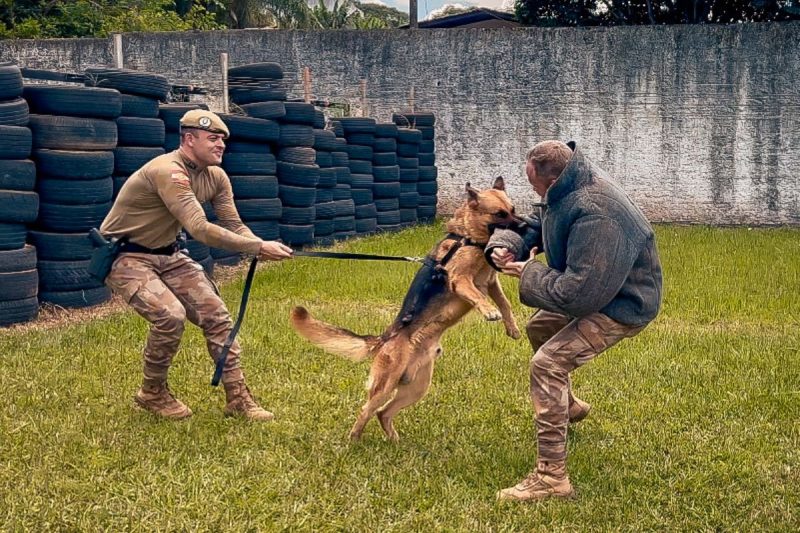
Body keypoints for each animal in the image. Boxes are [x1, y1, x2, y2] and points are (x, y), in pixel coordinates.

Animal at [290, 177, 520, 438]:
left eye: (513, 210)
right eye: (499, 214)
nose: (524, 226)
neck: (468, 238)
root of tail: (385, 338)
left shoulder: (491, 282)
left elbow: (505, 303)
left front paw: (512, 328)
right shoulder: (460, 280)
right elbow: (481, 298)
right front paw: (489, 311)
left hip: (417, 387)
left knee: (383, 413)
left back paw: (393, 440)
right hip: (386, 385)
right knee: (365, 410)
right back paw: (354, 439)